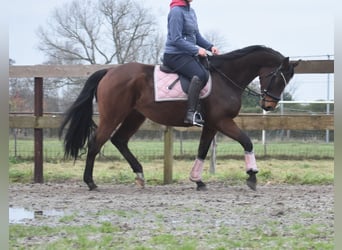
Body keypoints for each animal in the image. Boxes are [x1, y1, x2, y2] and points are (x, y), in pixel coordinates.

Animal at [59, 45, 300, 190]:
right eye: (278, 78)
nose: (269, 105)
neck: (226, 78)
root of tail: (109, 72)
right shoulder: (222, 122)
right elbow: (247, 141)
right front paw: (251, 175)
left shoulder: (211, 125)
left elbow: (202, 150)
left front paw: (197, 180)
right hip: (112, 115)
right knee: (95, 143)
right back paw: (90, 182)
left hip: (134, 116)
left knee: (119, 140)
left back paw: (139, 175)